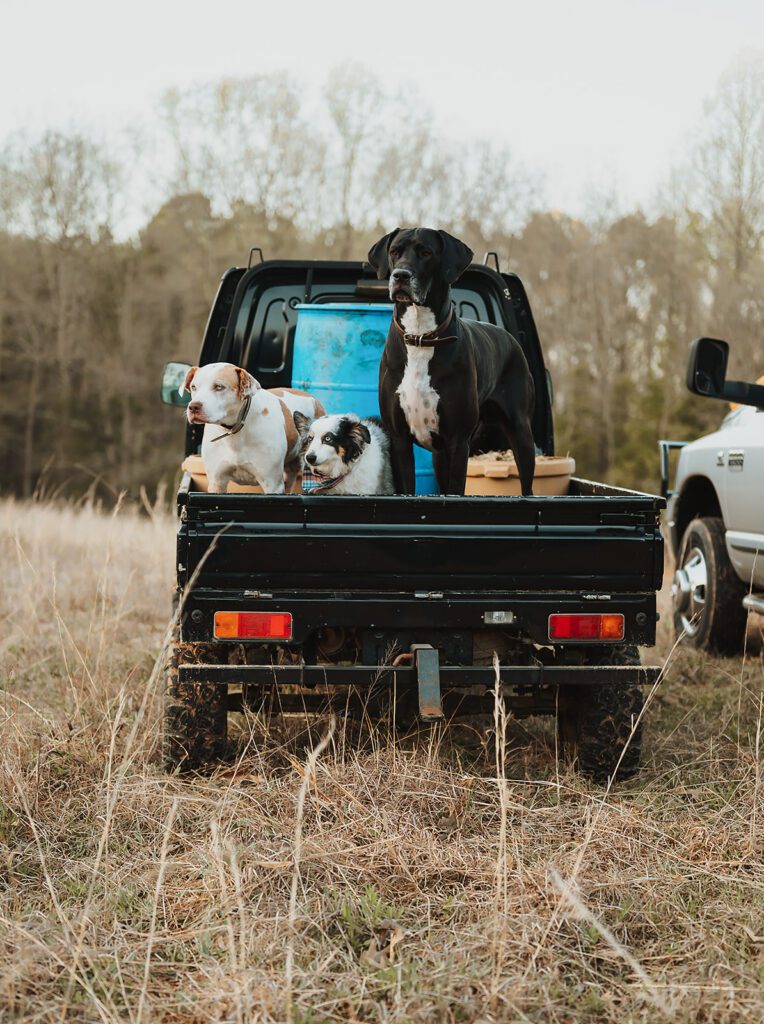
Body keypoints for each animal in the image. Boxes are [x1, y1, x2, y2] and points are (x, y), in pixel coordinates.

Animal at [183, 362, 323, 493]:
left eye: (219, 387)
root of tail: (313, 399)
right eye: (194, 387)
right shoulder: (216, 482)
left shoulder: (272, 484)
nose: (193, 406)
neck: (234, 431)